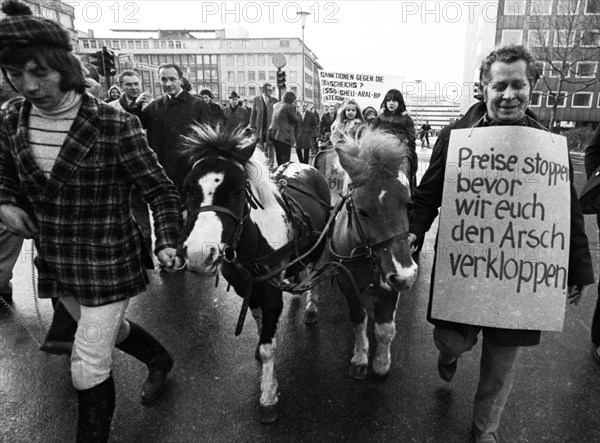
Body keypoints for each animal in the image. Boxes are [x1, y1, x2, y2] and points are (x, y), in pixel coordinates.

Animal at [178, 125, 330, 424]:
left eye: (237, 191)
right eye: (188, 189)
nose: (200, 254)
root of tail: (305, 164)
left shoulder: (270, 294)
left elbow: (269, 345)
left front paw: (268, 396)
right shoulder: (247, 288)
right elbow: (260, 323)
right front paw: (260, 345)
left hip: (318, 248)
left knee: (314, 275)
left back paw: (310, 306)